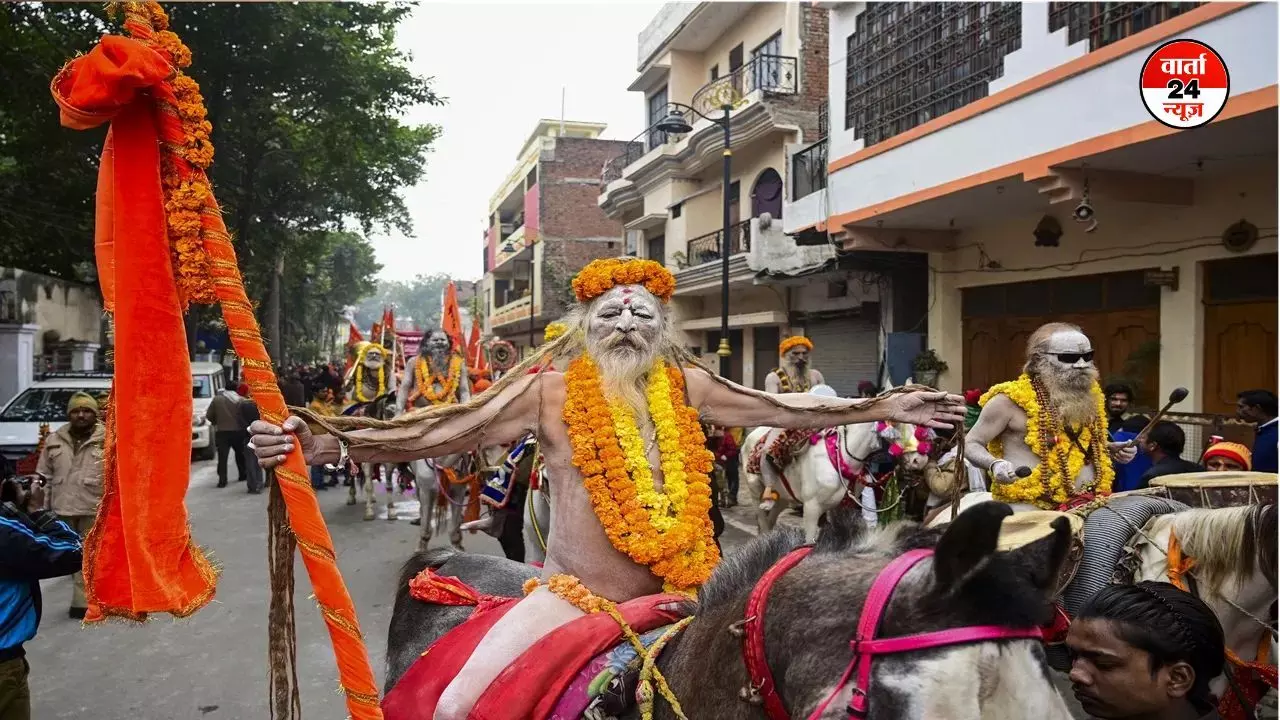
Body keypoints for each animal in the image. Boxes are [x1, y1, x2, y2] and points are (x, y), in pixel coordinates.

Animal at [742, 417, 931, 540]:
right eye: (897, 423)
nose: (920, 460)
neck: (841, 455)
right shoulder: (811, 508)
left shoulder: (840, 507)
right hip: (756, 492)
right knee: (763, 519)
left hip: (783, 497)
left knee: (771, 520)